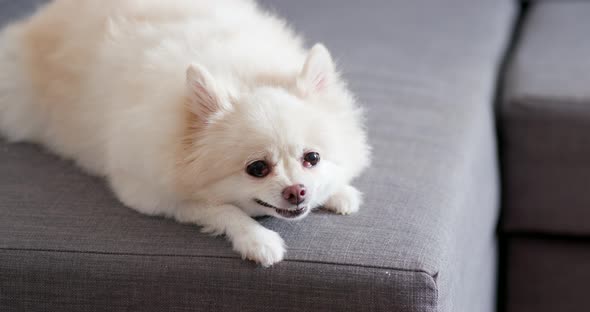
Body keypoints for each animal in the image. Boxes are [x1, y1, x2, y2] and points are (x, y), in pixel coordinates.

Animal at [0, 0, 370, 266]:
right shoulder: (151, 194)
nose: (297, 191)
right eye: (257, 169)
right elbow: (224, 210)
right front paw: (257, 239)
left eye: (312, 158)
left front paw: (338, 191)